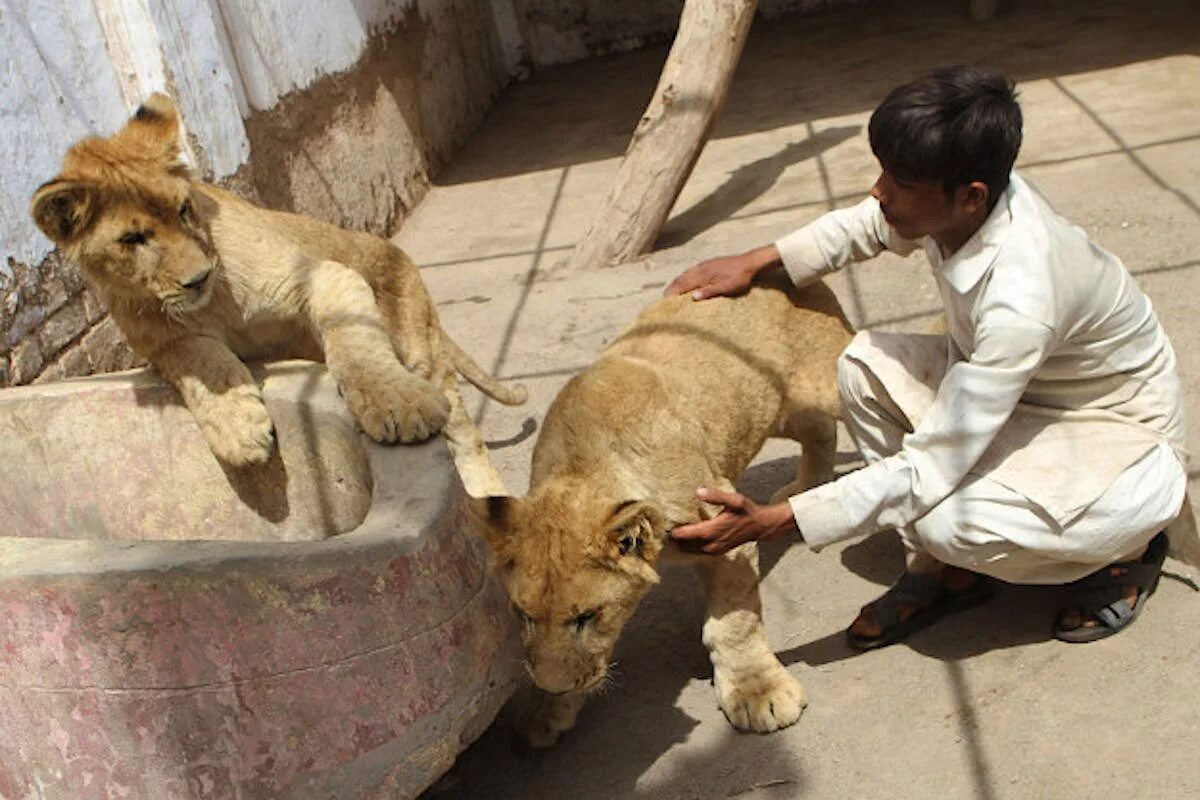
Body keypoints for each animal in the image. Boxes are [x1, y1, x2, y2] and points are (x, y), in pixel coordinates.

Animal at [30, 94, 520, 494]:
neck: (212, 302)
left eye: (184, 209)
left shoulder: (321, 274)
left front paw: (398, 404)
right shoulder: (164, 343)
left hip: (421, 348)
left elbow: (354, 342)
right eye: (132, 239)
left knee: (463, 431)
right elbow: (202, 363)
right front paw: (239, 429)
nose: (199, 277)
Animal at [468, 277, 854, 753]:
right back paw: (808, 490)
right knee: (818, 428)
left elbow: (735, 623)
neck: (585, 465)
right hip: (774, 408)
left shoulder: (725, 527)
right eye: (523, 615)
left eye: (587, 617)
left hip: (828, 380)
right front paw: (546, 710)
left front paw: (758, 693)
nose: (554, 686)